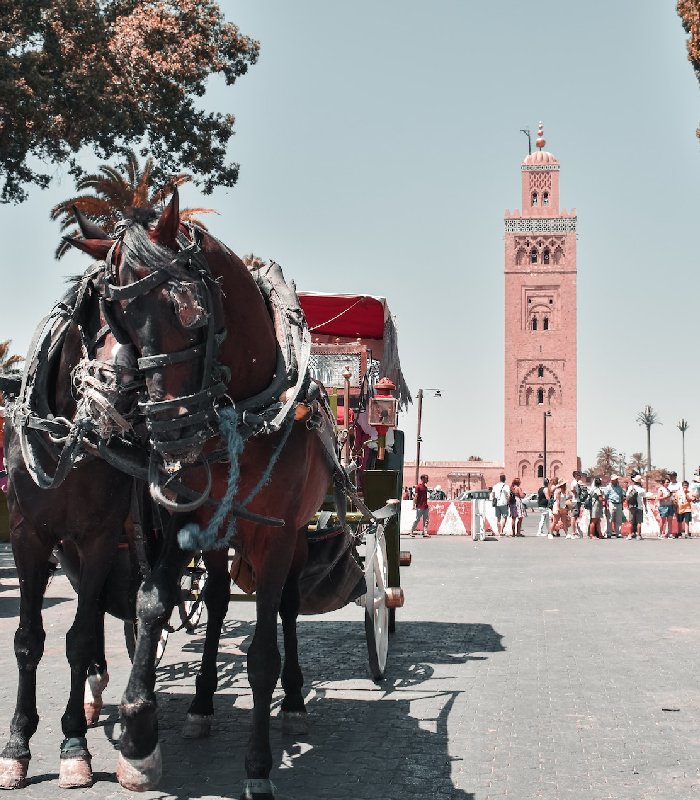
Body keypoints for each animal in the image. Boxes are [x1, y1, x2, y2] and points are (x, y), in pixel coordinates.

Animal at [67, 195, 336, 800]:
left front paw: (258, 764)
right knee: (213, 601)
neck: (245, 411)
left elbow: (262, 654)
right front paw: (138, 732)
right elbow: (151, 602)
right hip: (217, 538)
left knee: (286, 607)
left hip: (296, 537)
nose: (170, 435)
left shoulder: (276, 535)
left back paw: (295, 700)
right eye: (116, 321)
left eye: (188, 309)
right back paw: (203, 702)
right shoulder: (181, 520)